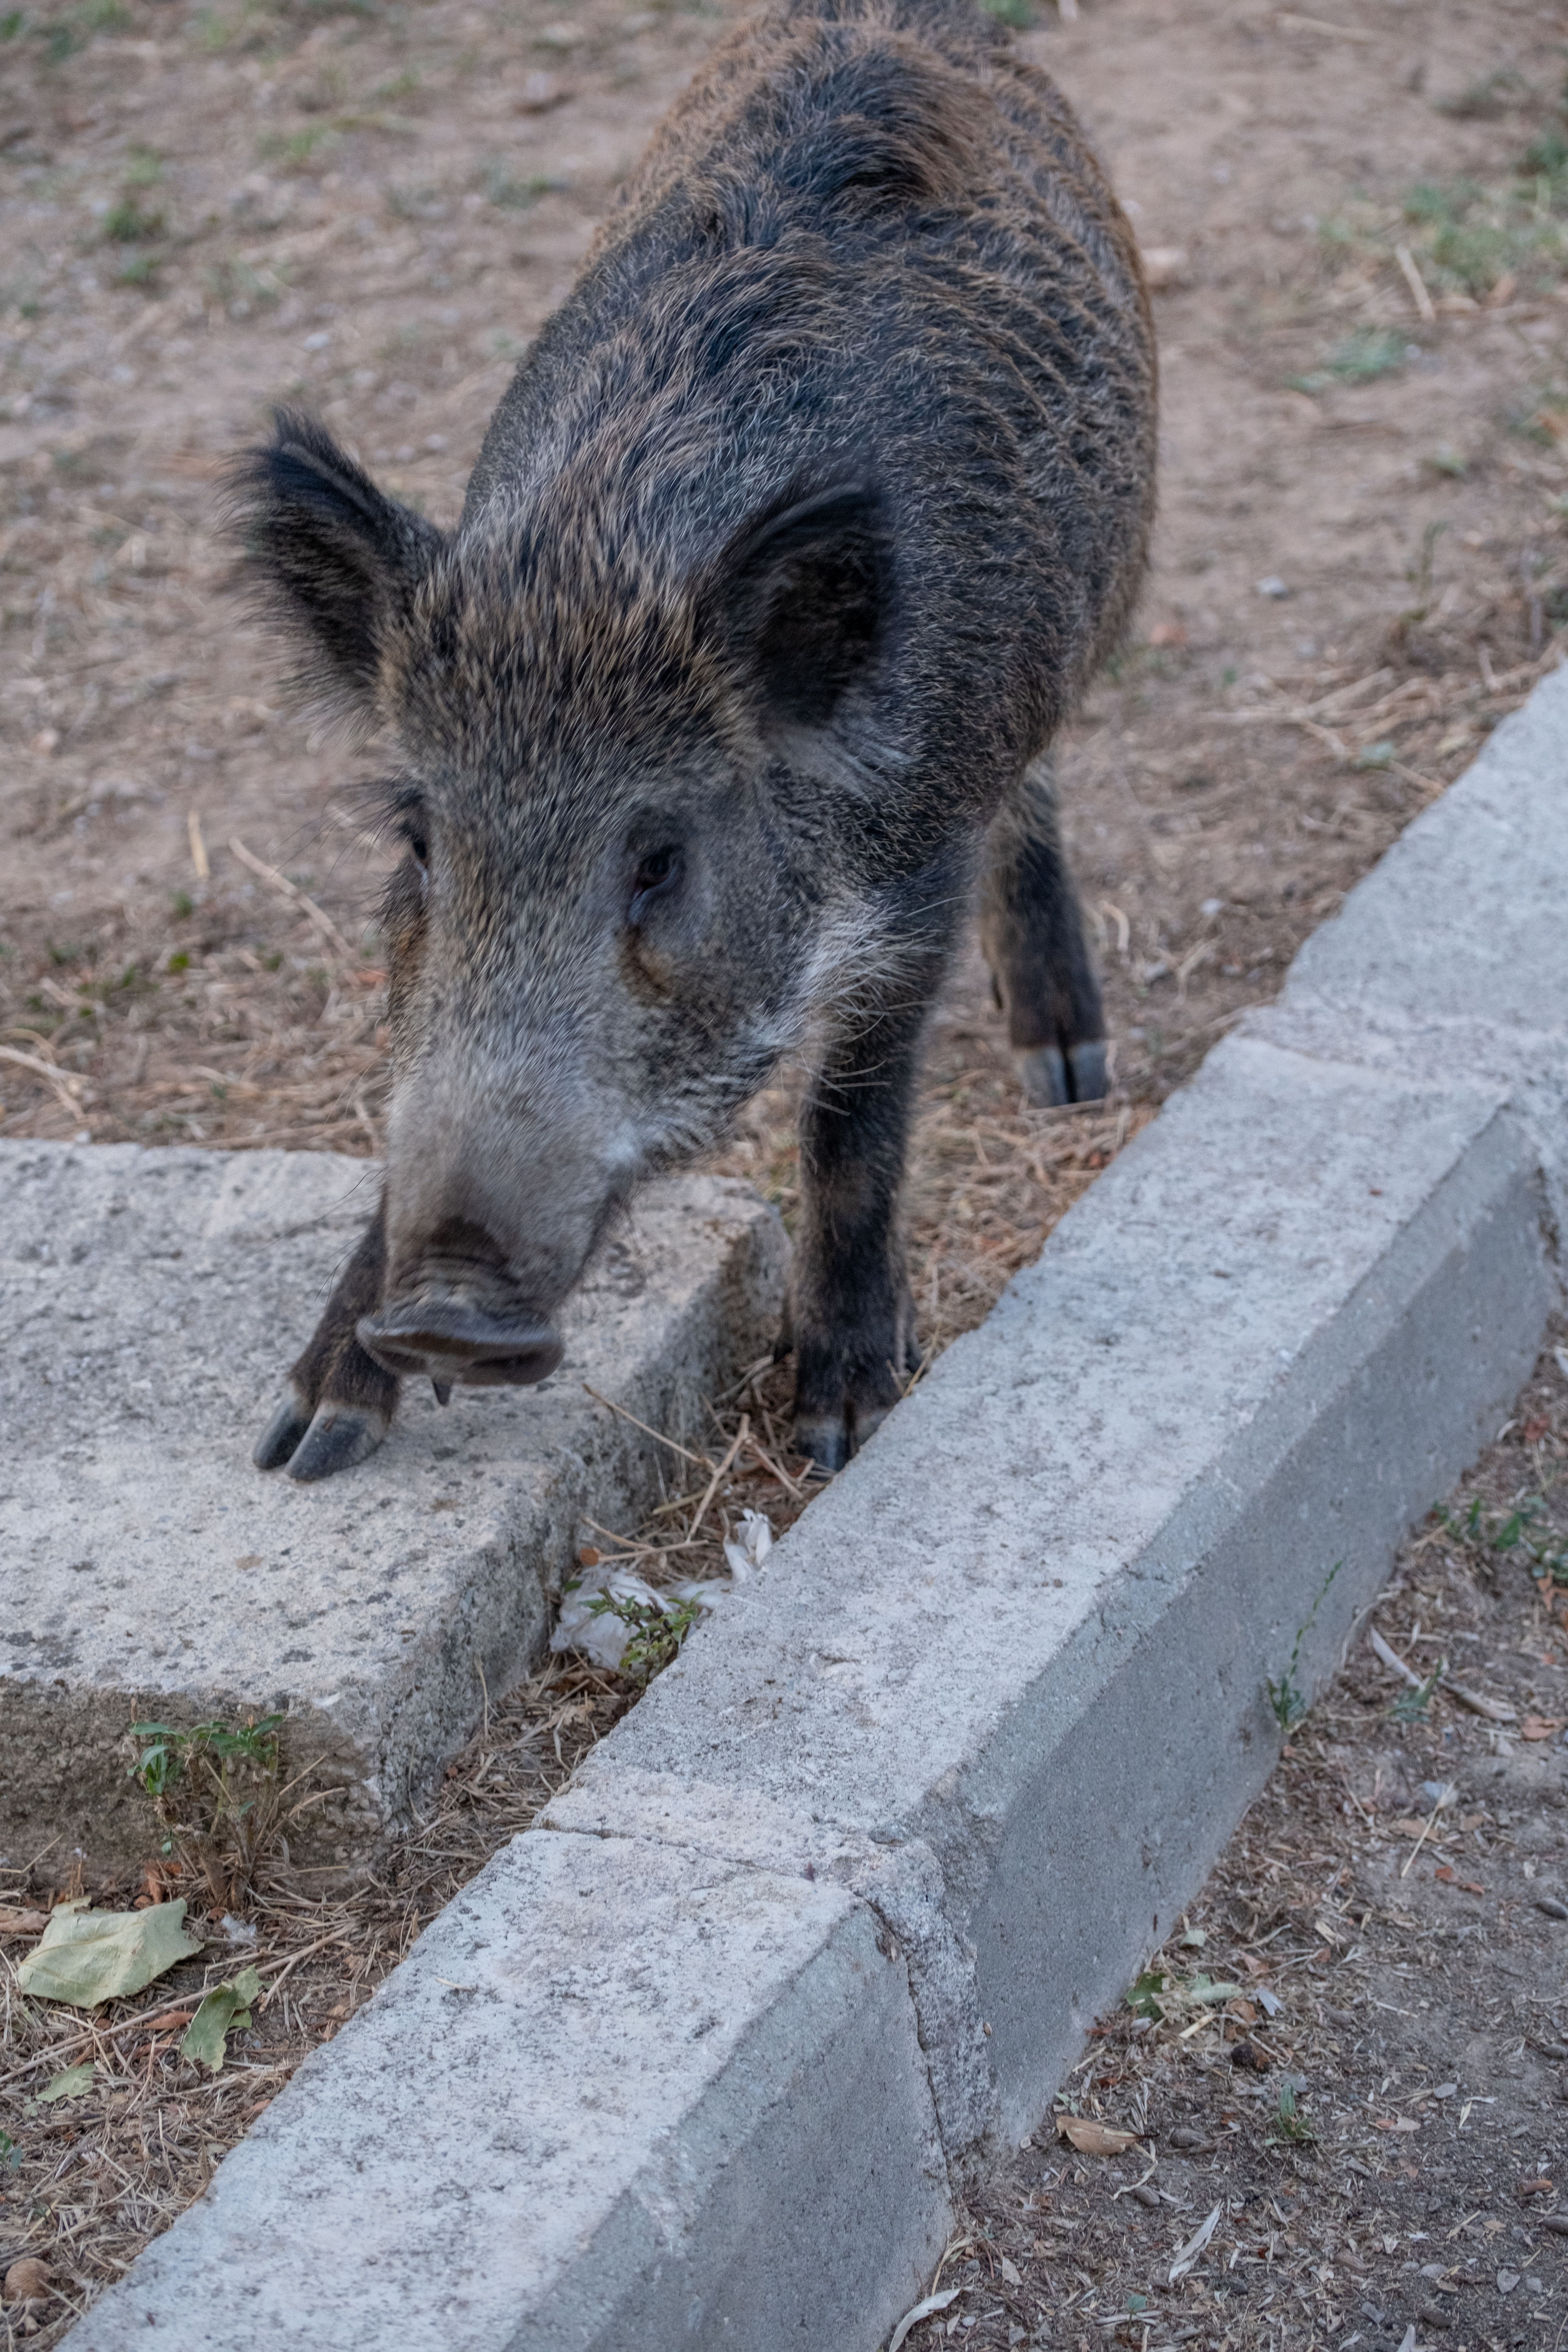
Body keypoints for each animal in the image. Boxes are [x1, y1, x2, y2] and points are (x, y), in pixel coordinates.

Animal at [237, 0, 1156, 1485]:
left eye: (659, 858)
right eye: (420, 840)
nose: (446, 1310)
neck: (598, 561)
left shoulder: (919, 865)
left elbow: (851, 1120)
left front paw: (840, 1426)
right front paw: (306, 1441)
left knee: (1041, 790)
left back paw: (1069, 1076)